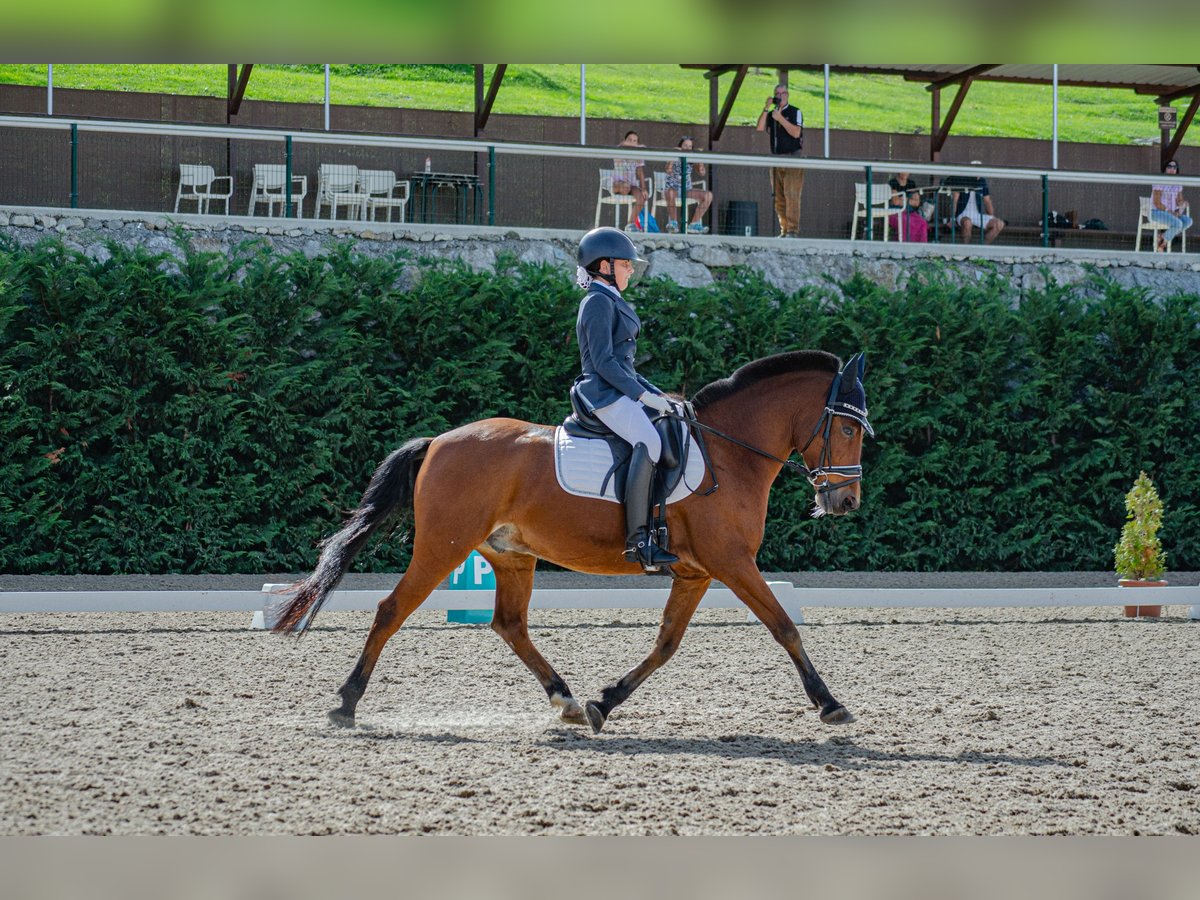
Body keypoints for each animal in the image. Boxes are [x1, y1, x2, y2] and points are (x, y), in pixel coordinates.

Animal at [272, 348, 873, 734]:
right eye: (847, 428)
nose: (845, 502)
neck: (730, 453)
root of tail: (440, 440)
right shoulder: (732, 562)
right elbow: (785, 626)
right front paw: (831, 705)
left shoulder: (697, 571)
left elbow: (667, 643)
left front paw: (604, 702)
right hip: (443, 546)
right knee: (392, 609)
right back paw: (346, 704)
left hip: (511, 556)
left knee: (509, 625)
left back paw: (565, 701)